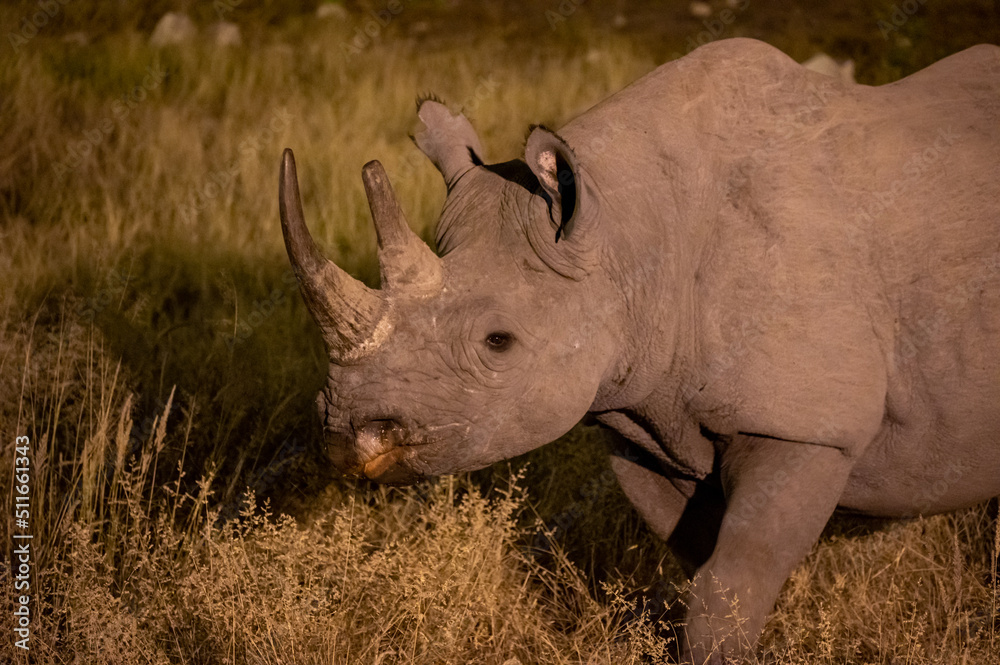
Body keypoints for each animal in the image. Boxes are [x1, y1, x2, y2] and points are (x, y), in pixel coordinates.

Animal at [277, 38, 1000, 662]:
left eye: (498, 342)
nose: (345, 435)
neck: (627, 237)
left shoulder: (808, 425)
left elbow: (732, 581)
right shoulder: (648, 417)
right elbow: (703, 563)